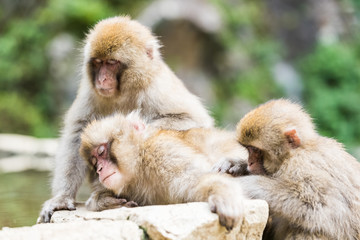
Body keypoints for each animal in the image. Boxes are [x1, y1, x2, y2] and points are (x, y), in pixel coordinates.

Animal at [37, 16, 214, 223]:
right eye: (98, 63)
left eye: (112, 63)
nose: (102, 79)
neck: (122, 93)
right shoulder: (90, 92)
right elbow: (76, 136)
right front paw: (62, 198)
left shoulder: (156, 87)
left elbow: (193, 120)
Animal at [78, 112, 248, 231]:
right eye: (94, 162)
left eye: (101, 152)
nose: (100, 169)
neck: (141, 163)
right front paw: (103, 200)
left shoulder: (162, 152)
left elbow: (198, 179)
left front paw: (224, 195)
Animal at [222, 99, 360, 240]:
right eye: (248, 149)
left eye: (255, 149)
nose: (250, 163)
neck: (295, 152)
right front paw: (236, 165)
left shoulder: (302, 165)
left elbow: (319, 205)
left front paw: (244, 183)